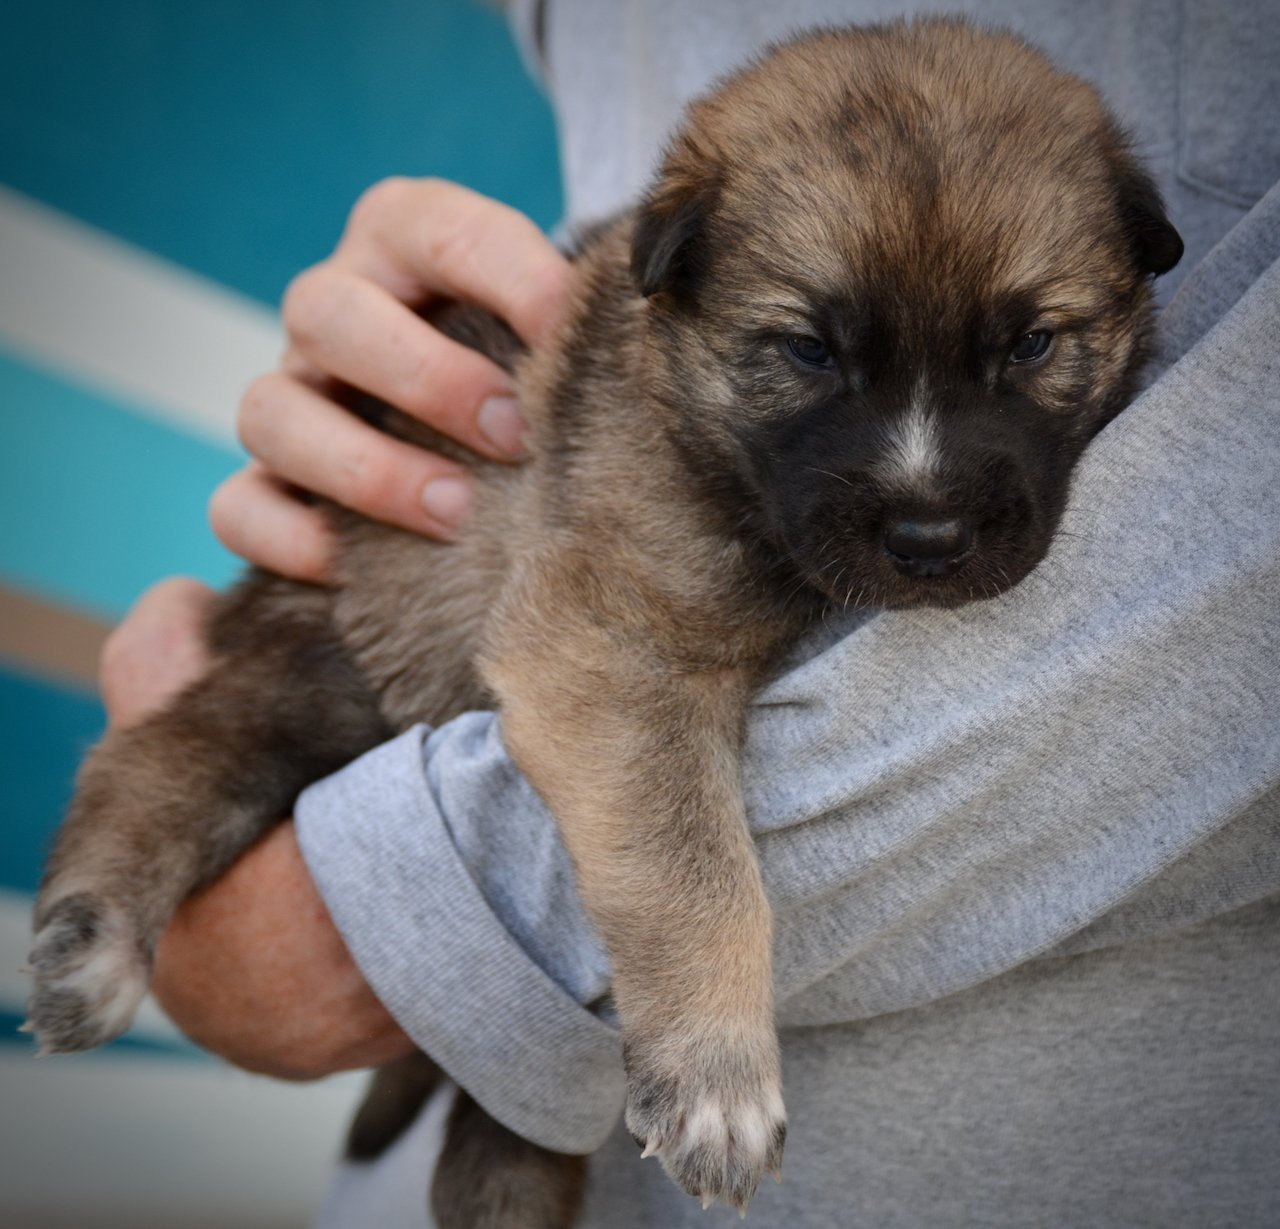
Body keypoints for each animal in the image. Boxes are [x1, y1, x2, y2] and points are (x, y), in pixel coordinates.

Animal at [27, 21, 1177, 1229]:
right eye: (808, 349)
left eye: (1033, 343)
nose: (928, 535)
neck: (693, 422)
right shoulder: (617, 646)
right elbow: (694, 864)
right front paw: (719, 1074)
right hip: (353, 660)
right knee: (162, 751)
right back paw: (95, 942)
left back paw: (505, 1179)